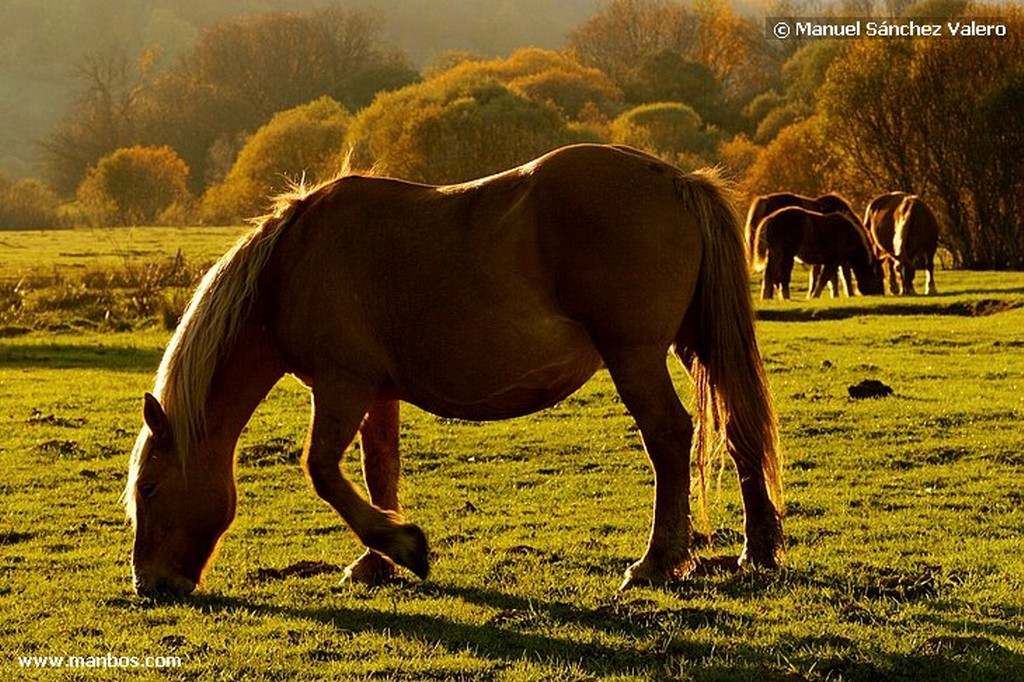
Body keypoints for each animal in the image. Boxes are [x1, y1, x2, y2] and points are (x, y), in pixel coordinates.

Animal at [123, 143, 786, 593]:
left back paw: (656, 562)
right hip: (695, 345)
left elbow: (322, 471)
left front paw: (404, 547)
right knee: (739, 427)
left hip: (635, 355)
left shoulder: (342, 386)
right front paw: (377, 560)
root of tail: (676, 178)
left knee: (670, 437)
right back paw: (758, 550)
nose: (149, 586)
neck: (289, 267)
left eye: (149, 487)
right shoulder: (376, 393)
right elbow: (379, 470)